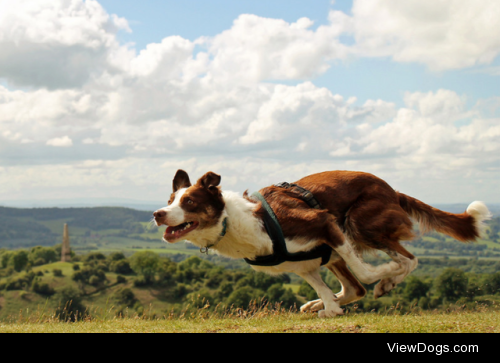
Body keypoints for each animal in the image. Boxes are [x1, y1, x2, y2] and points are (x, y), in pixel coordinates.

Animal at [153, 169, 492, 318]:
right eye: (170, 200)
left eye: (190, 202)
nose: (157, 214)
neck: (239, 221)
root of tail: (392, 190)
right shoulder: (302, 263)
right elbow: (330, 292)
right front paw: (326, 306)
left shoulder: (324, 223)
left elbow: (368, 272)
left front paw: (384, 273)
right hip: (336, 251)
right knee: (356, 288)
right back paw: (319, 303)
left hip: (359, 223)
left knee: (408, 259)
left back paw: (389, 279)